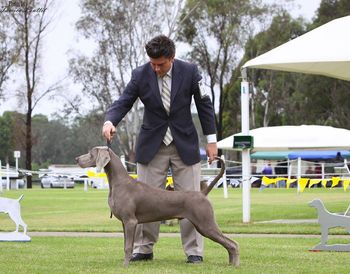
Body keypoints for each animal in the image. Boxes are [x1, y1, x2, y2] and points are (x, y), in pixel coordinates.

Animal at [76, 147, 239, 266]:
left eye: (90, 153)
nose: (76, 159)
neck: (119, 182)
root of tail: (202, 193)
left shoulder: (130, 221)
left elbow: (128, 246)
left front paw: (125, 266)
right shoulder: (124, 222)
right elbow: (126, 245)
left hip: (206, 223)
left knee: (233, 243)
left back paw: (235, 264)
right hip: (202, 224)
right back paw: (231, 263)